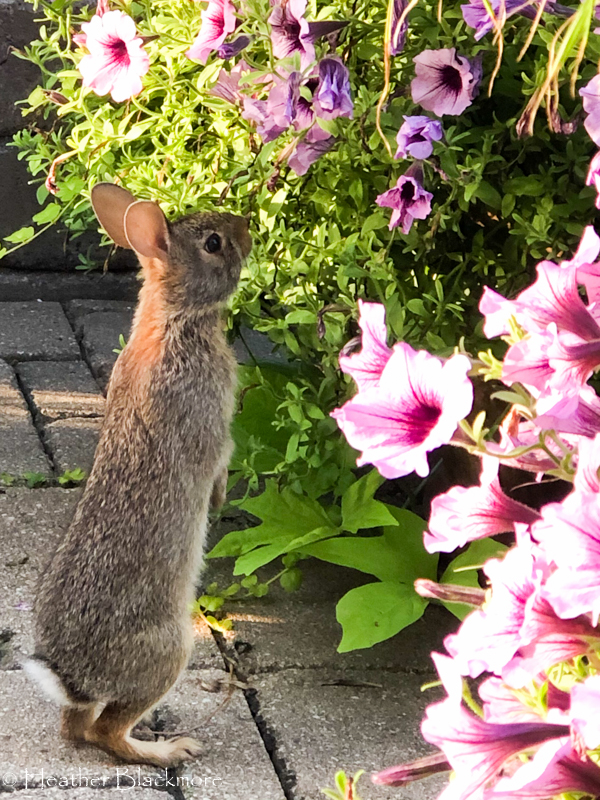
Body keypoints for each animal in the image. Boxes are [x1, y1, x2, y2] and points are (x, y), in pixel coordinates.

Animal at [24, 183, 251, 767]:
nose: (245, 227)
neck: (176, 317)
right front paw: (219, 500)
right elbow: (218, 459)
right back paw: (170, 750)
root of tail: (73, 676)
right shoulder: (213, 426)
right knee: (105, 732)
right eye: (213, 243)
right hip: (171, 649)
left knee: (75, 728)